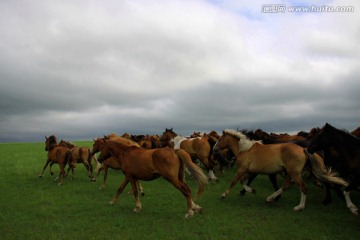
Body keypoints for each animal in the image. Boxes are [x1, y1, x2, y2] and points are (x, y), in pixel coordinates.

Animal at [215, 129, 348, 212]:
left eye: (220, 139)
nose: (215, 149)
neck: (245, 150)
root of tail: (303, 149)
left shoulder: (242, 170)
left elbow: (234, 182)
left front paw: (224, 195)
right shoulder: (249, 171)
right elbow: (243, 181)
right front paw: (251, 190)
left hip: (295, 173)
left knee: (303, 187)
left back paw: (299, 207)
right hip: (289, 173)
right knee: (286, 185)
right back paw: (270, 198)